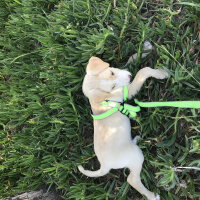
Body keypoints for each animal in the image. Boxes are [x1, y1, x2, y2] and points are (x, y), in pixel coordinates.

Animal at [78, 41, 169, 199]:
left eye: (112, 72)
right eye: (112, 86)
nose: (129, 77)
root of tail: (104, 166)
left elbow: (131, 60)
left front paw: (145, 49)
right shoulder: (127, 90)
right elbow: (143, 71)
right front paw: (160, 72)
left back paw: (136, 139)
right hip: (136, 156)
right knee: (132, 179)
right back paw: (152, 195)